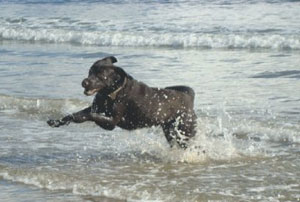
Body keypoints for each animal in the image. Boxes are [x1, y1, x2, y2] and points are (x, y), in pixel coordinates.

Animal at [47, 56, 197, 148]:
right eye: (90, 71)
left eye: (101, 76)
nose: (84, 82)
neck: (112, 94)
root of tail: (189, 98)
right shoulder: (96, 108)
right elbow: (74, 114)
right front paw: (57, 121)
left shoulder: (111, 122)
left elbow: (90, 116)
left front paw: (78, 118)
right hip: (170, 131)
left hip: (184, 130)